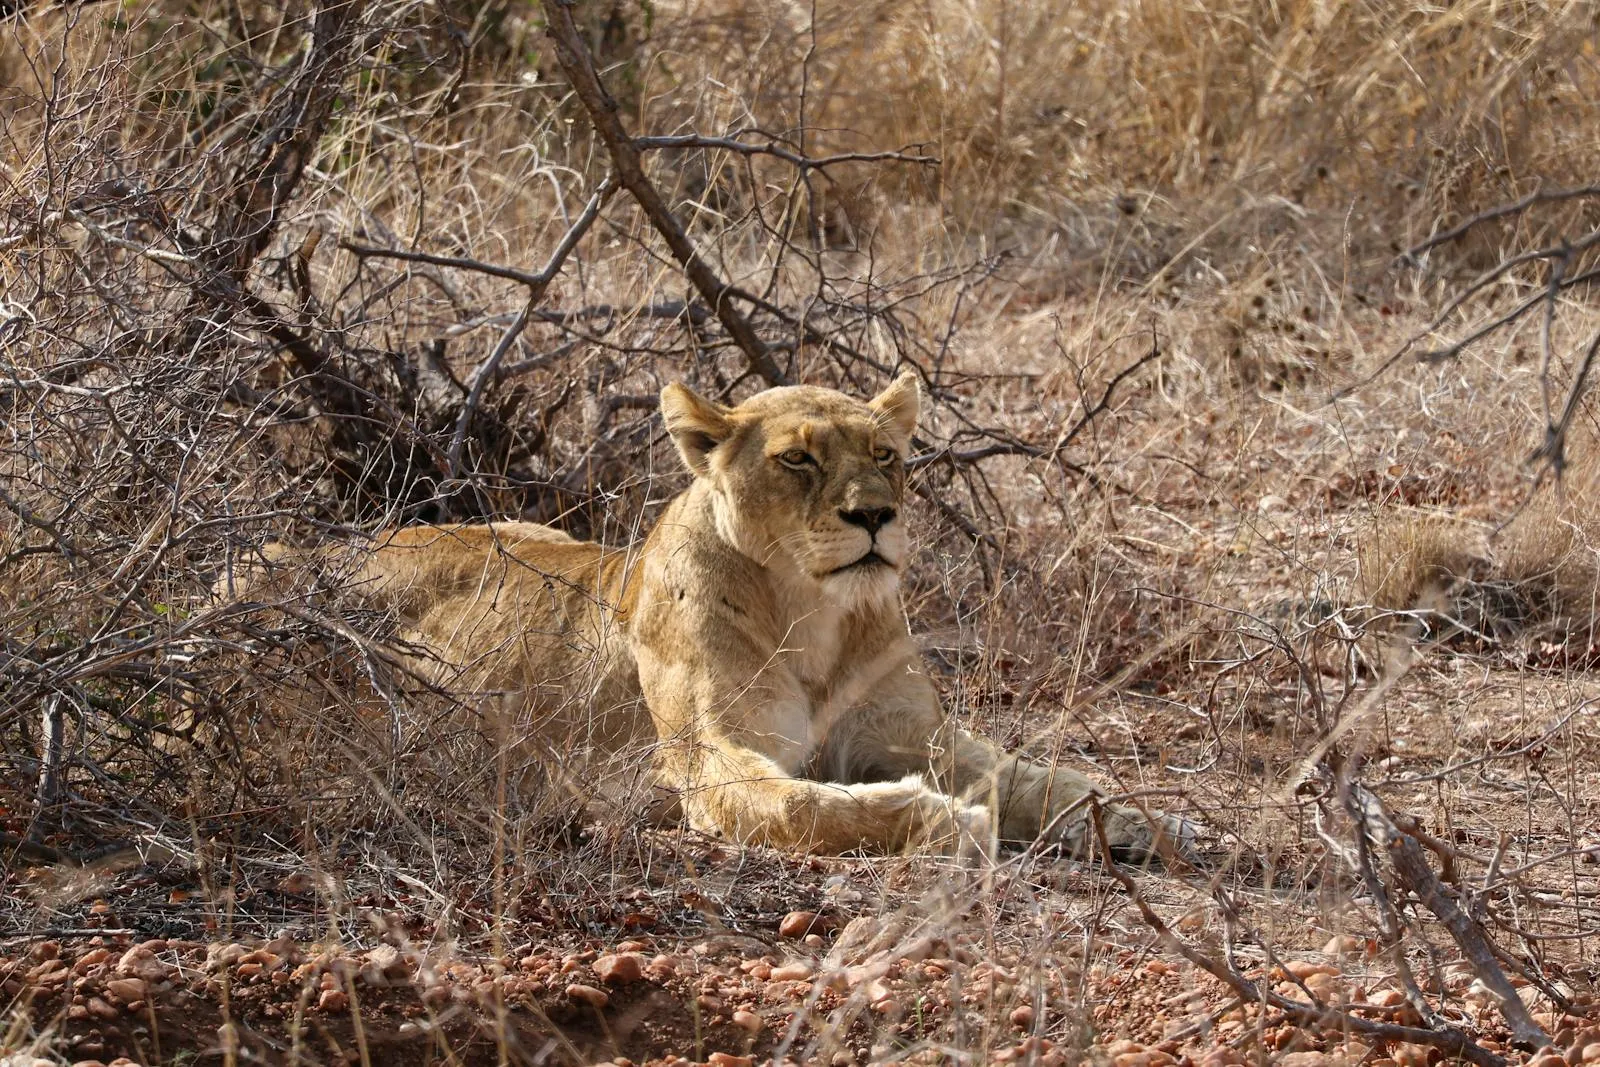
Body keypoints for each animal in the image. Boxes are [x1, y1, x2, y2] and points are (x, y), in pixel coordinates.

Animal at [242, 375, 1188, 859]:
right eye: (799, 459)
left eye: (886, 453)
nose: (876, 515)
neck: (817, 611)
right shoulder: (703, 759)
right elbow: (810, 806)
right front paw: (943, 819)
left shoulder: (914, 734)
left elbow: (1045, 776)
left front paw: (1138, 820)